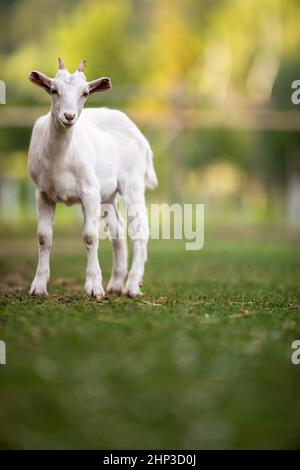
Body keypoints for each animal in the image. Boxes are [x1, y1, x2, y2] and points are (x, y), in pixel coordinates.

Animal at [28, 58, 158, 300]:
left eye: (85, 92)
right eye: (53, 90)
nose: (69, 116)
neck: (61, 160)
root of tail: (141, 137)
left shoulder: (89, 192)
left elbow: (90, 236)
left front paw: (94, 287)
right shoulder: (43, 192)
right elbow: (43, 237)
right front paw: (38, 287)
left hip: (132, 182)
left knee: (139, 228)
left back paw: (132, 286)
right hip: (107, 195)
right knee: (118, 229)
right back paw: (116, 283)